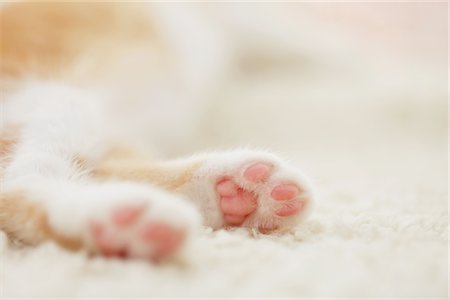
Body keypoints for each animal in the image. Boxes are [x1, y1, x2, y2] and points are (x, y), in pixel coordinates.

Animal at [0, 2, 314, 262]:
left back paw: (235, 193)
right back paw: (118, 218)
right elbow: (308, 43)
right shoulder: (253, 19)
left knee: (103, 168)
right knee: (19, 182)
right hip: (57, 99)